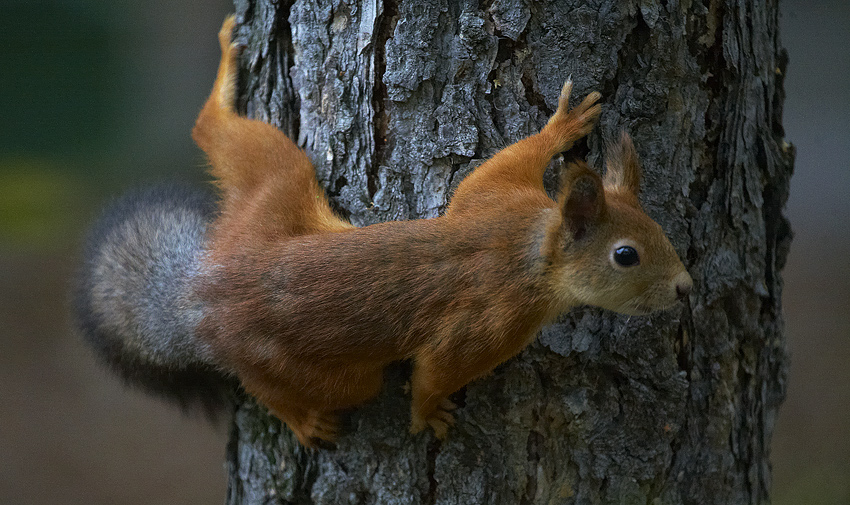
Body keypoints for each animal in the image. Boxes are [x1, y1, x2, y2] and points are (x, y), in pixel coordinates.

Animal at [76, 17, 692, 446]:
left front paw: (561, 126)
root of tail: (198, 291)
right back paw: (301, 419)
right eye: (626, 256)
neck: (528, 248)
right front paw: (428, 414)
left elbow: (504, 163)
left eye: (658, 230)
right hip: (303, 365)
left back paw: (226, 69)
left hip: (271, 202)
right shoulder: (491, 321)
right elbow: (435, 371)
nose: (686, 288)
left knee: (218, 134)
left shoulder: (497, 198)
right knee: (268, 383)